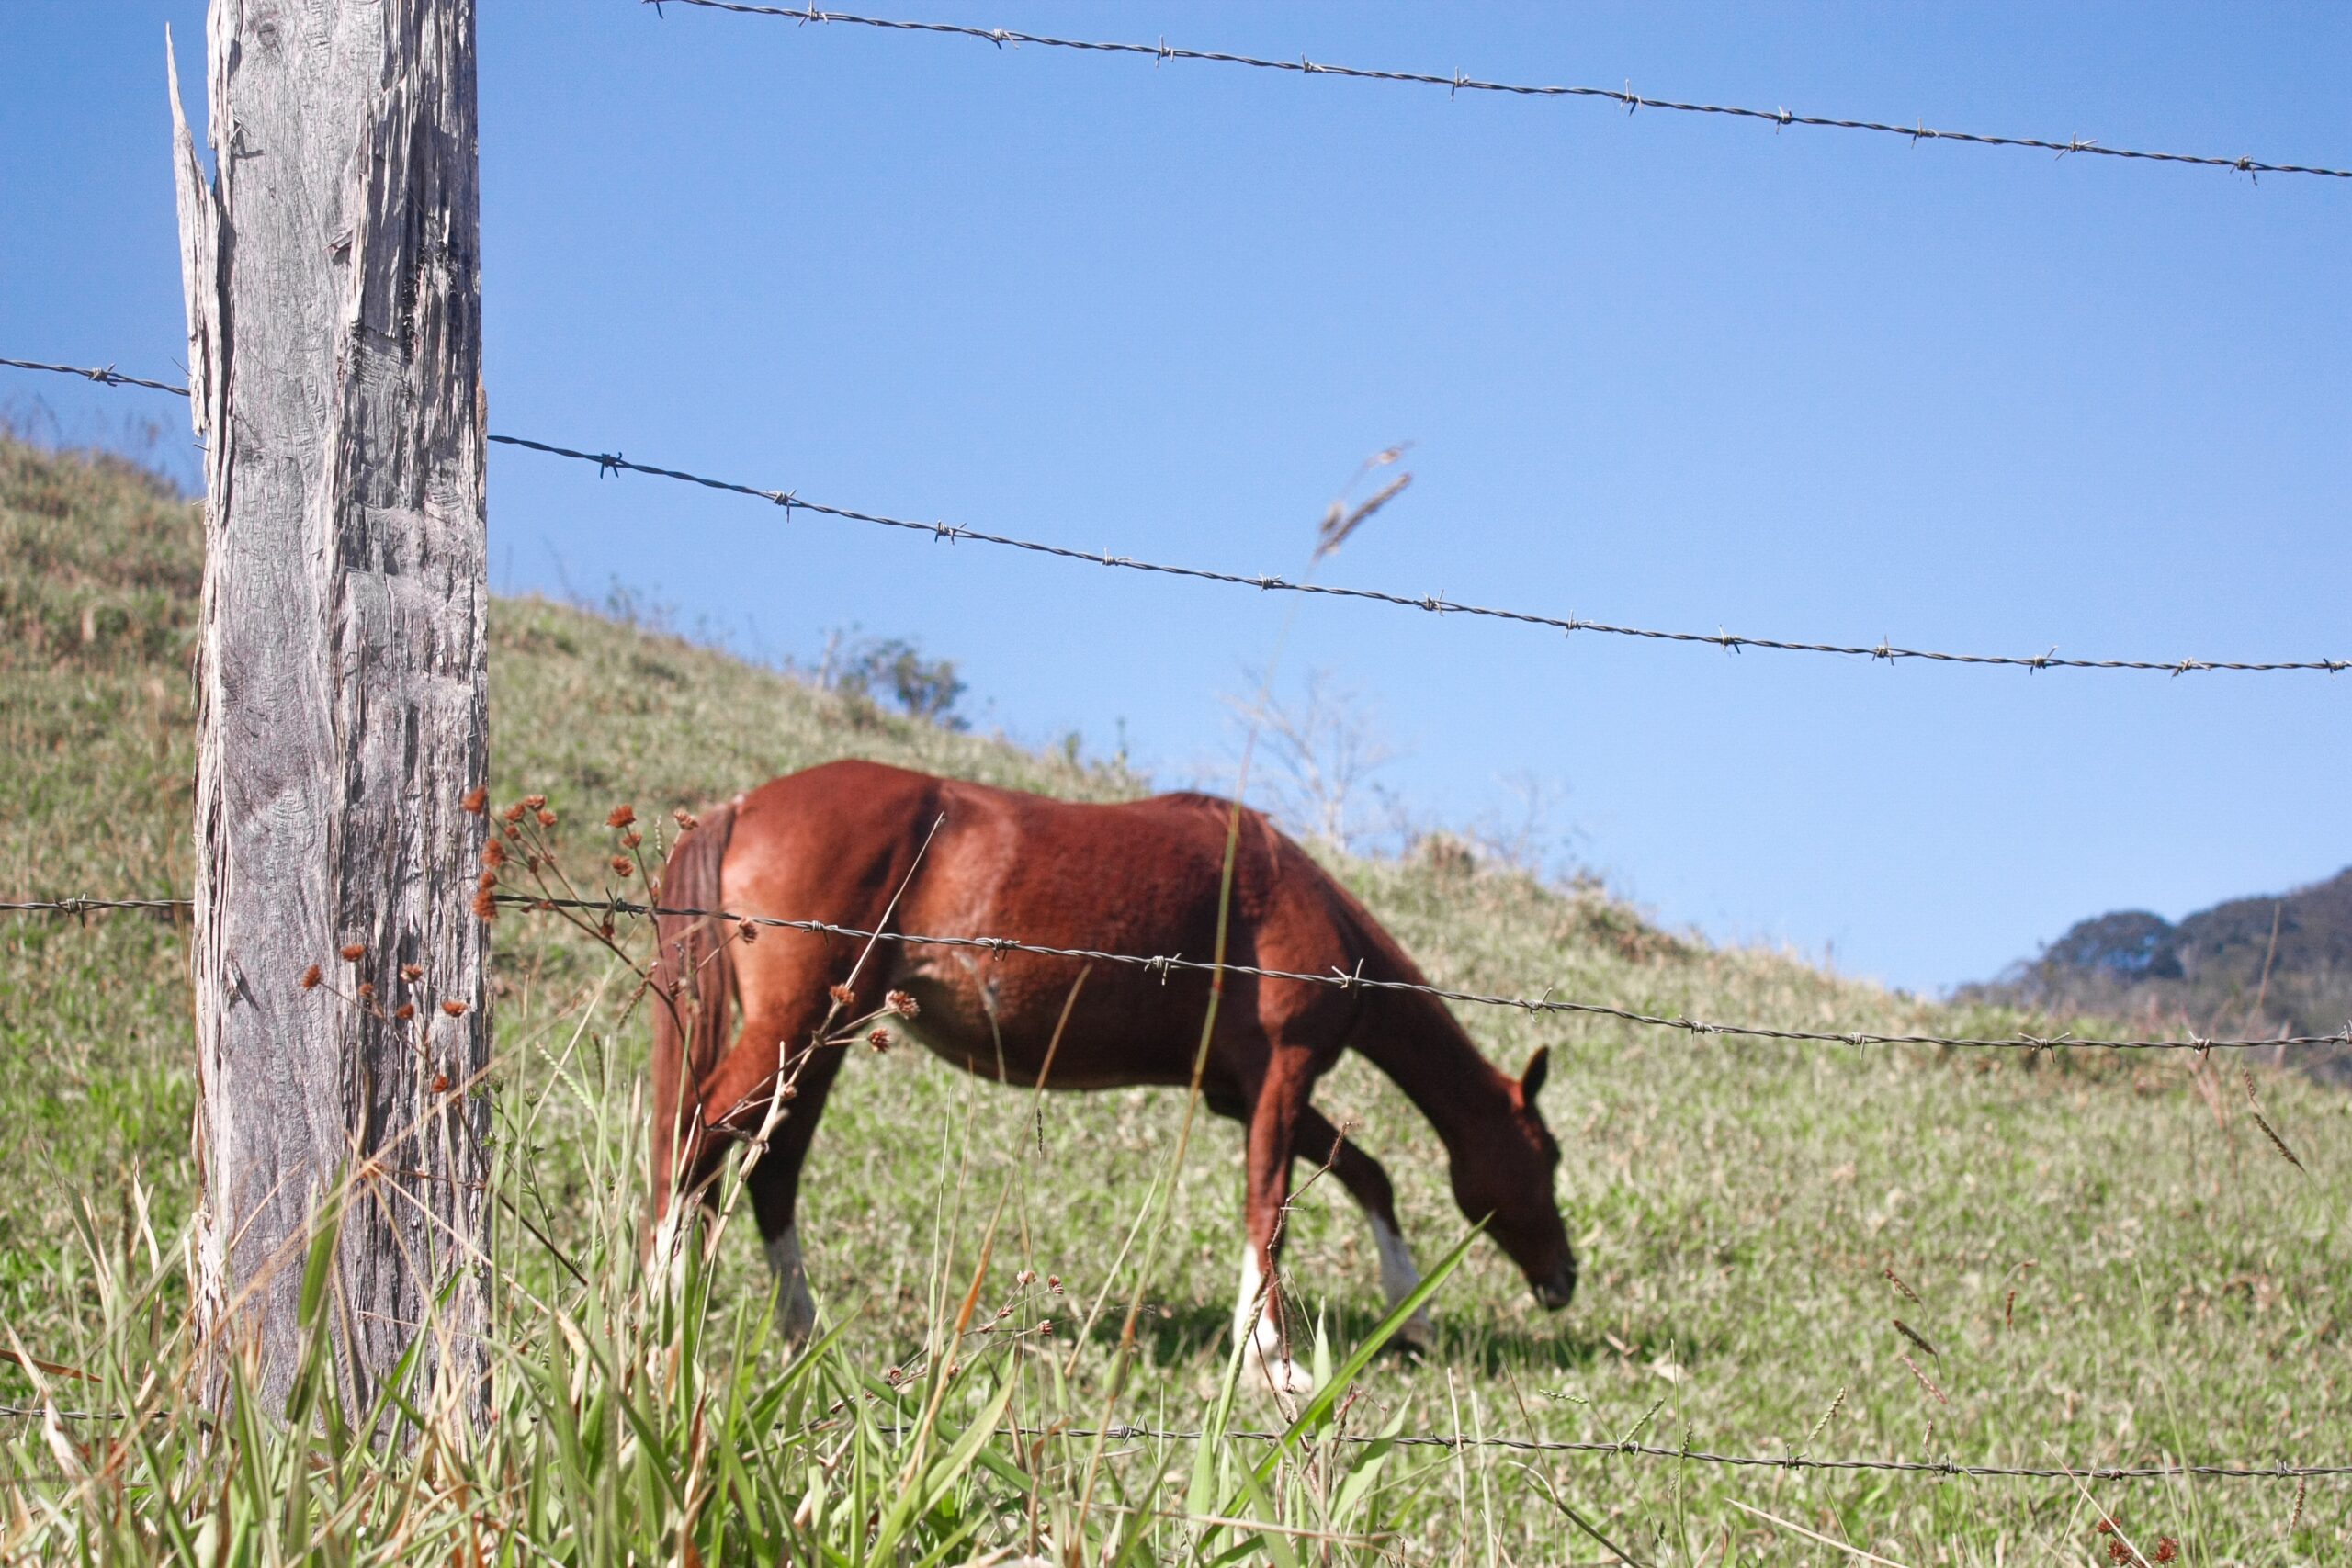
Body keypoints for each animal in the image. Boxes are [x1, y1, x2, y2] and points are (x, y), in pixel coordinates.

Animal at [653, 761, 1571, 1382]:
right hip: (796, 1026)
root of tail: (743, 805)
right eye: (1549, 1156)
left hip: (822, 1037)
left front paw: (1403, 1313)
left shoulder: (1238, 1093)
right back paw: (663, 1314)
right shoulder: (1283, 1076)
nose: (1566, 1278)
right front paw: (1273, 1358)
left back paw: (800, 1332)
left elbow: (1364, 1174)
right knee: (694, 1140)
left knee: (768, 1171)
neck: (1292, 893)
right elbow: (1269, 1206)